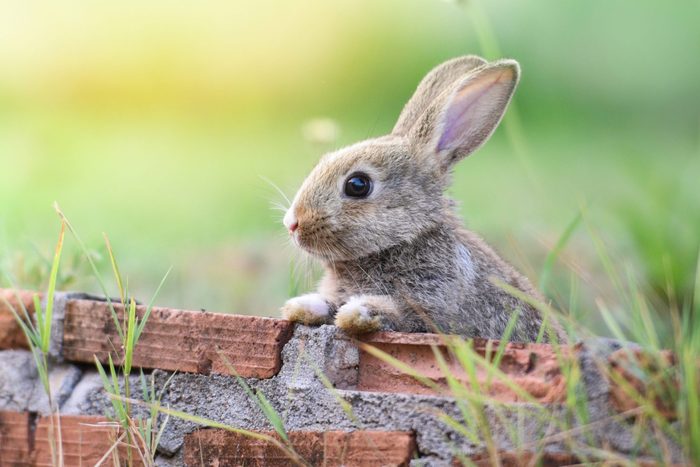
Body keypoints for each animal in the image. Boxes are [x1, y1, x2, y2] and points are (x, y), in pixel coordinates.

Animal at [280, 55, 561, 343]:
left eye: (357, 185)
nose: (292, 223)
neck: (406, 239)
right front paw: (301, 306)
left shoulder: (433, 305)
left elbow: (397, 313)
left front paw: (357, 312)